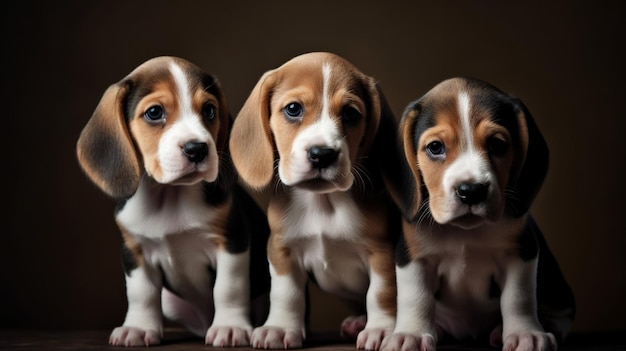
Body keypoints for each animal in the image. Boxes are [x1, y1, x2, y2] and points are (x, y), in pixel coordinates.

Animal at [75, 56, 268, 348]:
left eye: (210, 111)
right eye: (154, 112)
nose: (197, 149)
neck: (170, 196)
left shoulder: (231, 241)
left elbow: (228, 287)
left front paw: (230, 326)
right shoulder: (135, 250)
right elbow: (141, 293)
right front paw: (138, 328)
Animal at [227, 51, 398, 350]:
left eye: (351, 114)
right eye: (293, 109)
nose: (321, 154)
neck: (322, 202)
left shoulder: (382, 251)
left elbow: (381, 293)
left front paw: (380, 330)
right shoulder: (282, 249)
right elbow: (286, 294)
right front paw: (280, 328)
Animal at [378, 77, 572, 351]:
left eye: (497, 144)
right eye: (435, 147)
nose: (471, 191)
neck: (464, 233)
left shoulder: (520, 251)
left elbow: (519, 297)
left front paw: (525, 333)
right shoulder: (413, 257)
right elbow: (415, 297)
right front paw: (410, 334)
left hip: (556, 284)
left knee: (562, 312)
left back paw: (543, 325)